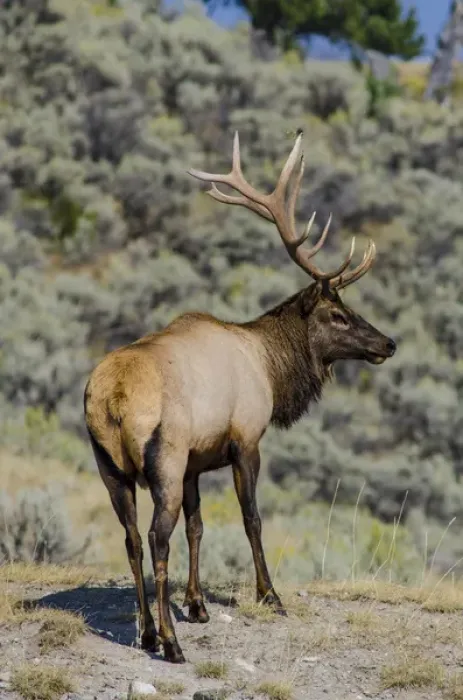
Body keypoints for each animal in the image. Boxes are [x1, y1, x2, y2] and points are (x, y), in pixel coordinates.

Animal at [84, 130, 396, 664]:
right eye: (337, 315)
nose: (388, 344)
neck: (270, 367)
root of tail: (113, 399)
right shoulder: (245, 440)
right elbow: (252, 519)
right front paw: (270, 594)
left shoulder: (195, 461)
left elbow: (198, 526)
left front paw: (198, 604)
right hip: (163, 457)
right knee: (156, 538)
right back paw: (171, 643)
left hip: (110, 466)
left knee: (131, 539)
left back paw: (147, 632)